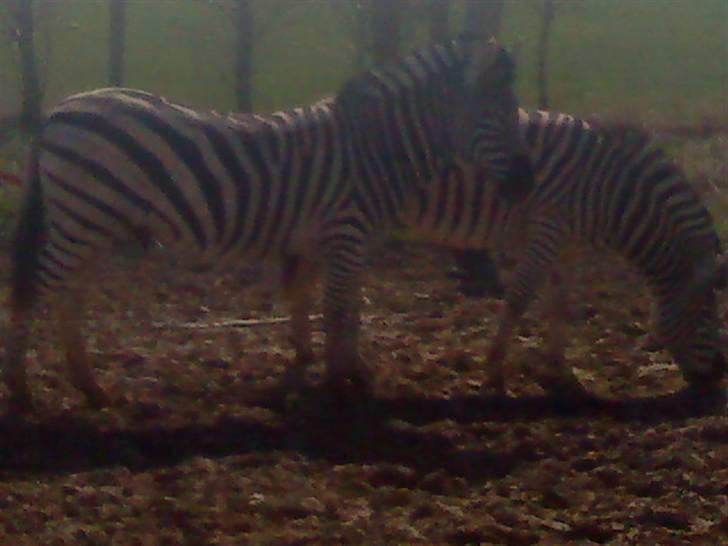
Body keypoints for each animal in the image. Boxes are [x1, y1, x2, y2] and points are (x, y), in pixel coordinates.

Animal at [3, 36, 533, 412]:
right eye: (497, 113)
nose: (524, 182)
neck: (374, 150)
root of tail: (58, 111)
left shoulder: (338, 240)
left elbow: (341, 307)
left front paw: (346, 374)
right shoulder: (346, 232)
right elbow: (338, 309)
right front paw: (341, 384)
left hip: (91, 226)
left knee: (69, 298)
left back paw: (91, 389)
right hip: (81, 220)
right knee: (32, 291)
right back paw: (23, 391)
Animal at [399, 109, 726, 397]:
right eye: (707, 312)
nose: (717, 376)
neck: (604, 189)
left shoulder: (565, 241)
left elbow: (561, 303)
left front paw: (560, 373)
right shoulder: (546, 226)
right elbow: (519, 298)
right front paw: (494, 373)